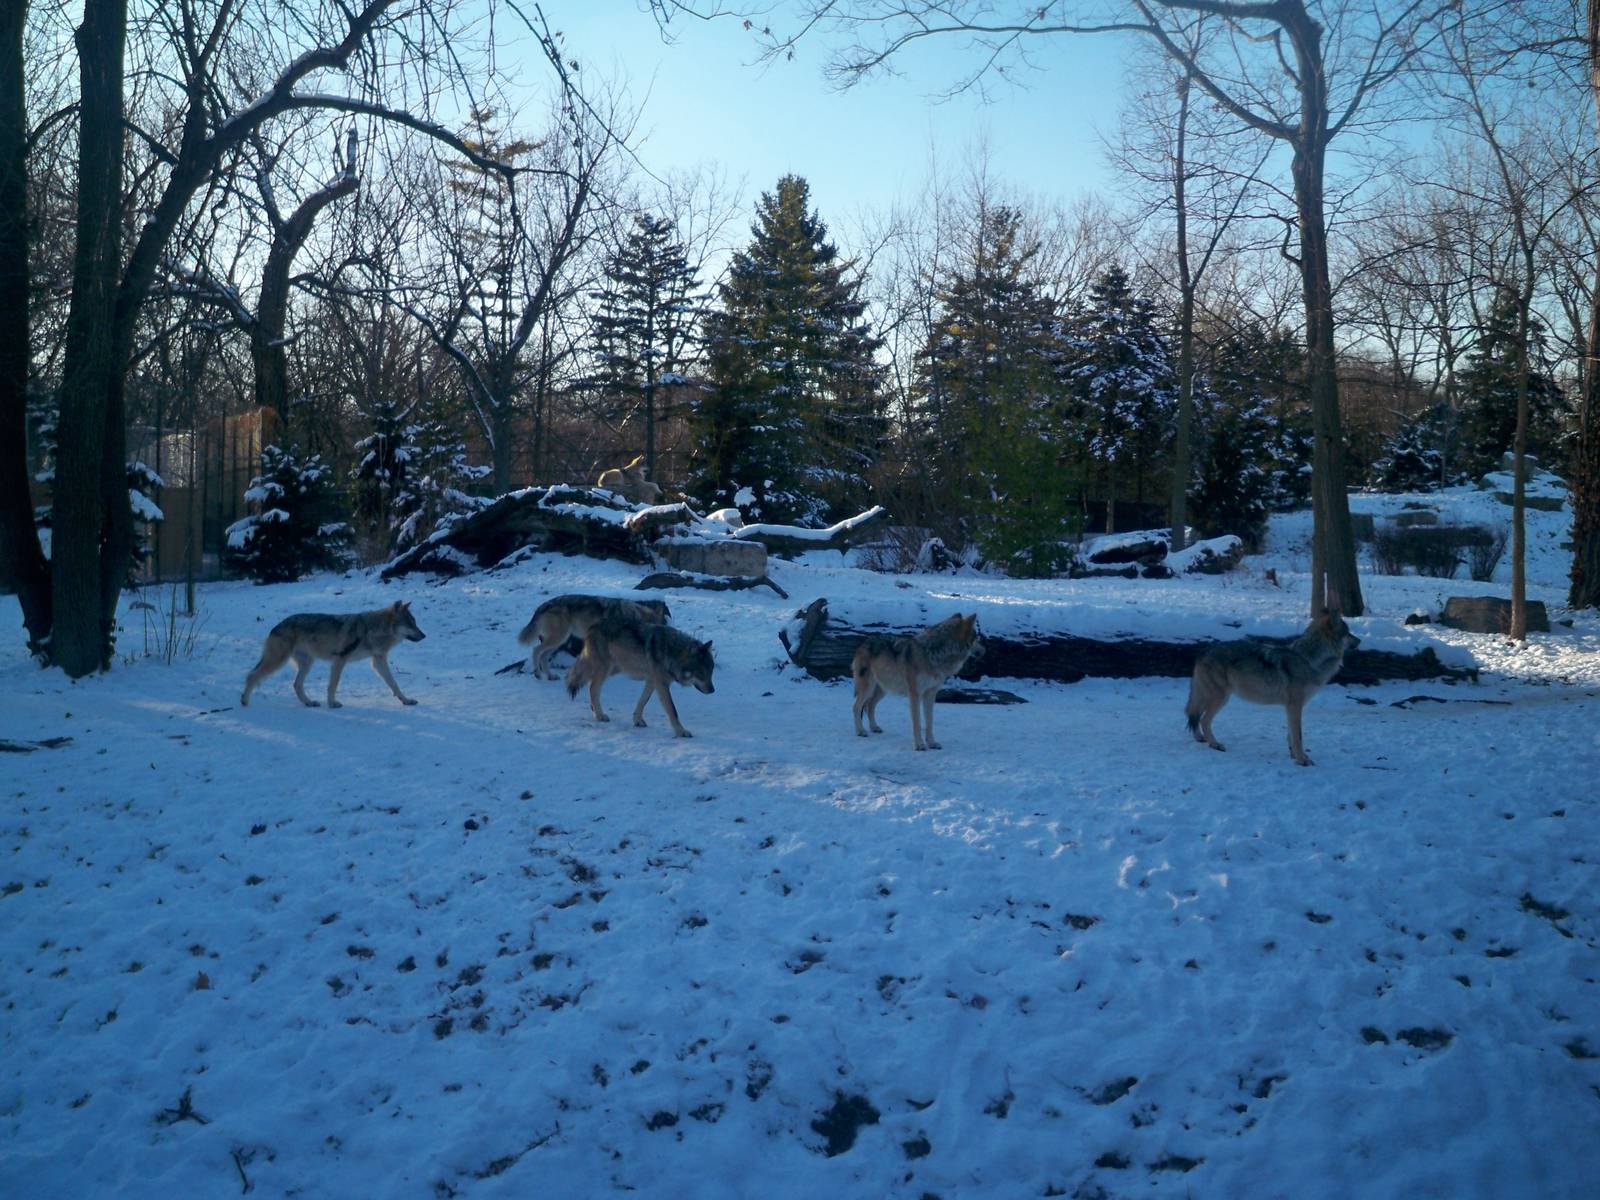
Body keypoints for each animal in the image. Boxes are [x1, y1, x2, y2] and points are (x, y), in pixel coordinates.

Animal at [241, 600, 426, 709]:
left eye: (415, 623)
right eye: (410, 623)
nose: (424, 636)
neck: (371, 630)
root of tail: (276, 626)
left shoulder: (378, 662)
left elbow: (394, 684)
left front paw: (406, 700)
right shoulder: (339, 660)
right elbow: (333, 685)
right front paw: (332, 703)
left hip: (306, 664)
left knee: (296, 685)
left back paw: (309, 702)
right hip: (279, 661)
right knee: (252, 675)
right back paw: (244, 701)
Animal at [516, 595, 671, 679]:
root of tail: (543, 605)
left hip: (559, 641)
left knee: (543, 656)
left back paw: (550, 676)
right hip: (558, 639)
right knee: (536, 651)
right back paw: (537, 674)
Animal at [564, 613, 714, 738]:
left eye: (711, 672)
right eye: (701, 674)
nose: (713, 690)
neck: (671, 652)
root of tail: (593, 626)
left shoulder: (652, 681)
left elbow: (642, 701)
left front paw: (637, 720)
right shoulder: (662, 684)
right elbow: (672, 710)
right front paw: (681, 732)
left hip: (613, 669)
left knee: (582, 678)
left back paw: (594, 711)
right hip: (605, 669)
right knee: (592, 687)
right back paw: (599, 715)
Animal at [852, 612, 981, 751]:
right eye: (976, 638)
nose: (983, 650)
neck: (934, 655)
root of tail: (863, 643)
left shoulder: (930, 694)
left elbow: (929, 721)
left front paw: (932, 743)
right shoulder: (915, 694)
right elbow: (917, 722)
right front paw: (919, 745)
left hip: (882, 690)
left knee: (869, 706)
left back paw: (874, 728)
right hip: (868, 688)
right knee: (856, 707)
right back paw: (860, 731)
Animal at [1184, 610, 1361, 766]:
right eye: (1348, 633)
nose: (1359, 641)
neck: (1308, 659)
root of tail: (1204, 651)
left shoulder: (1291, 707)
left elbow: (1291, 735)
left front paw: (1294, 755)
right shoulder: (1295, 706)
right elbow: (1298, 736)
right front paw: (1302, 760)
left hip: (1210, 697)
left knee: (1195, 716)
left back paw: (1201, 738)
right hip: (1221, 698)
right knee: (1203, 719)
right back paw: (1214, 744)